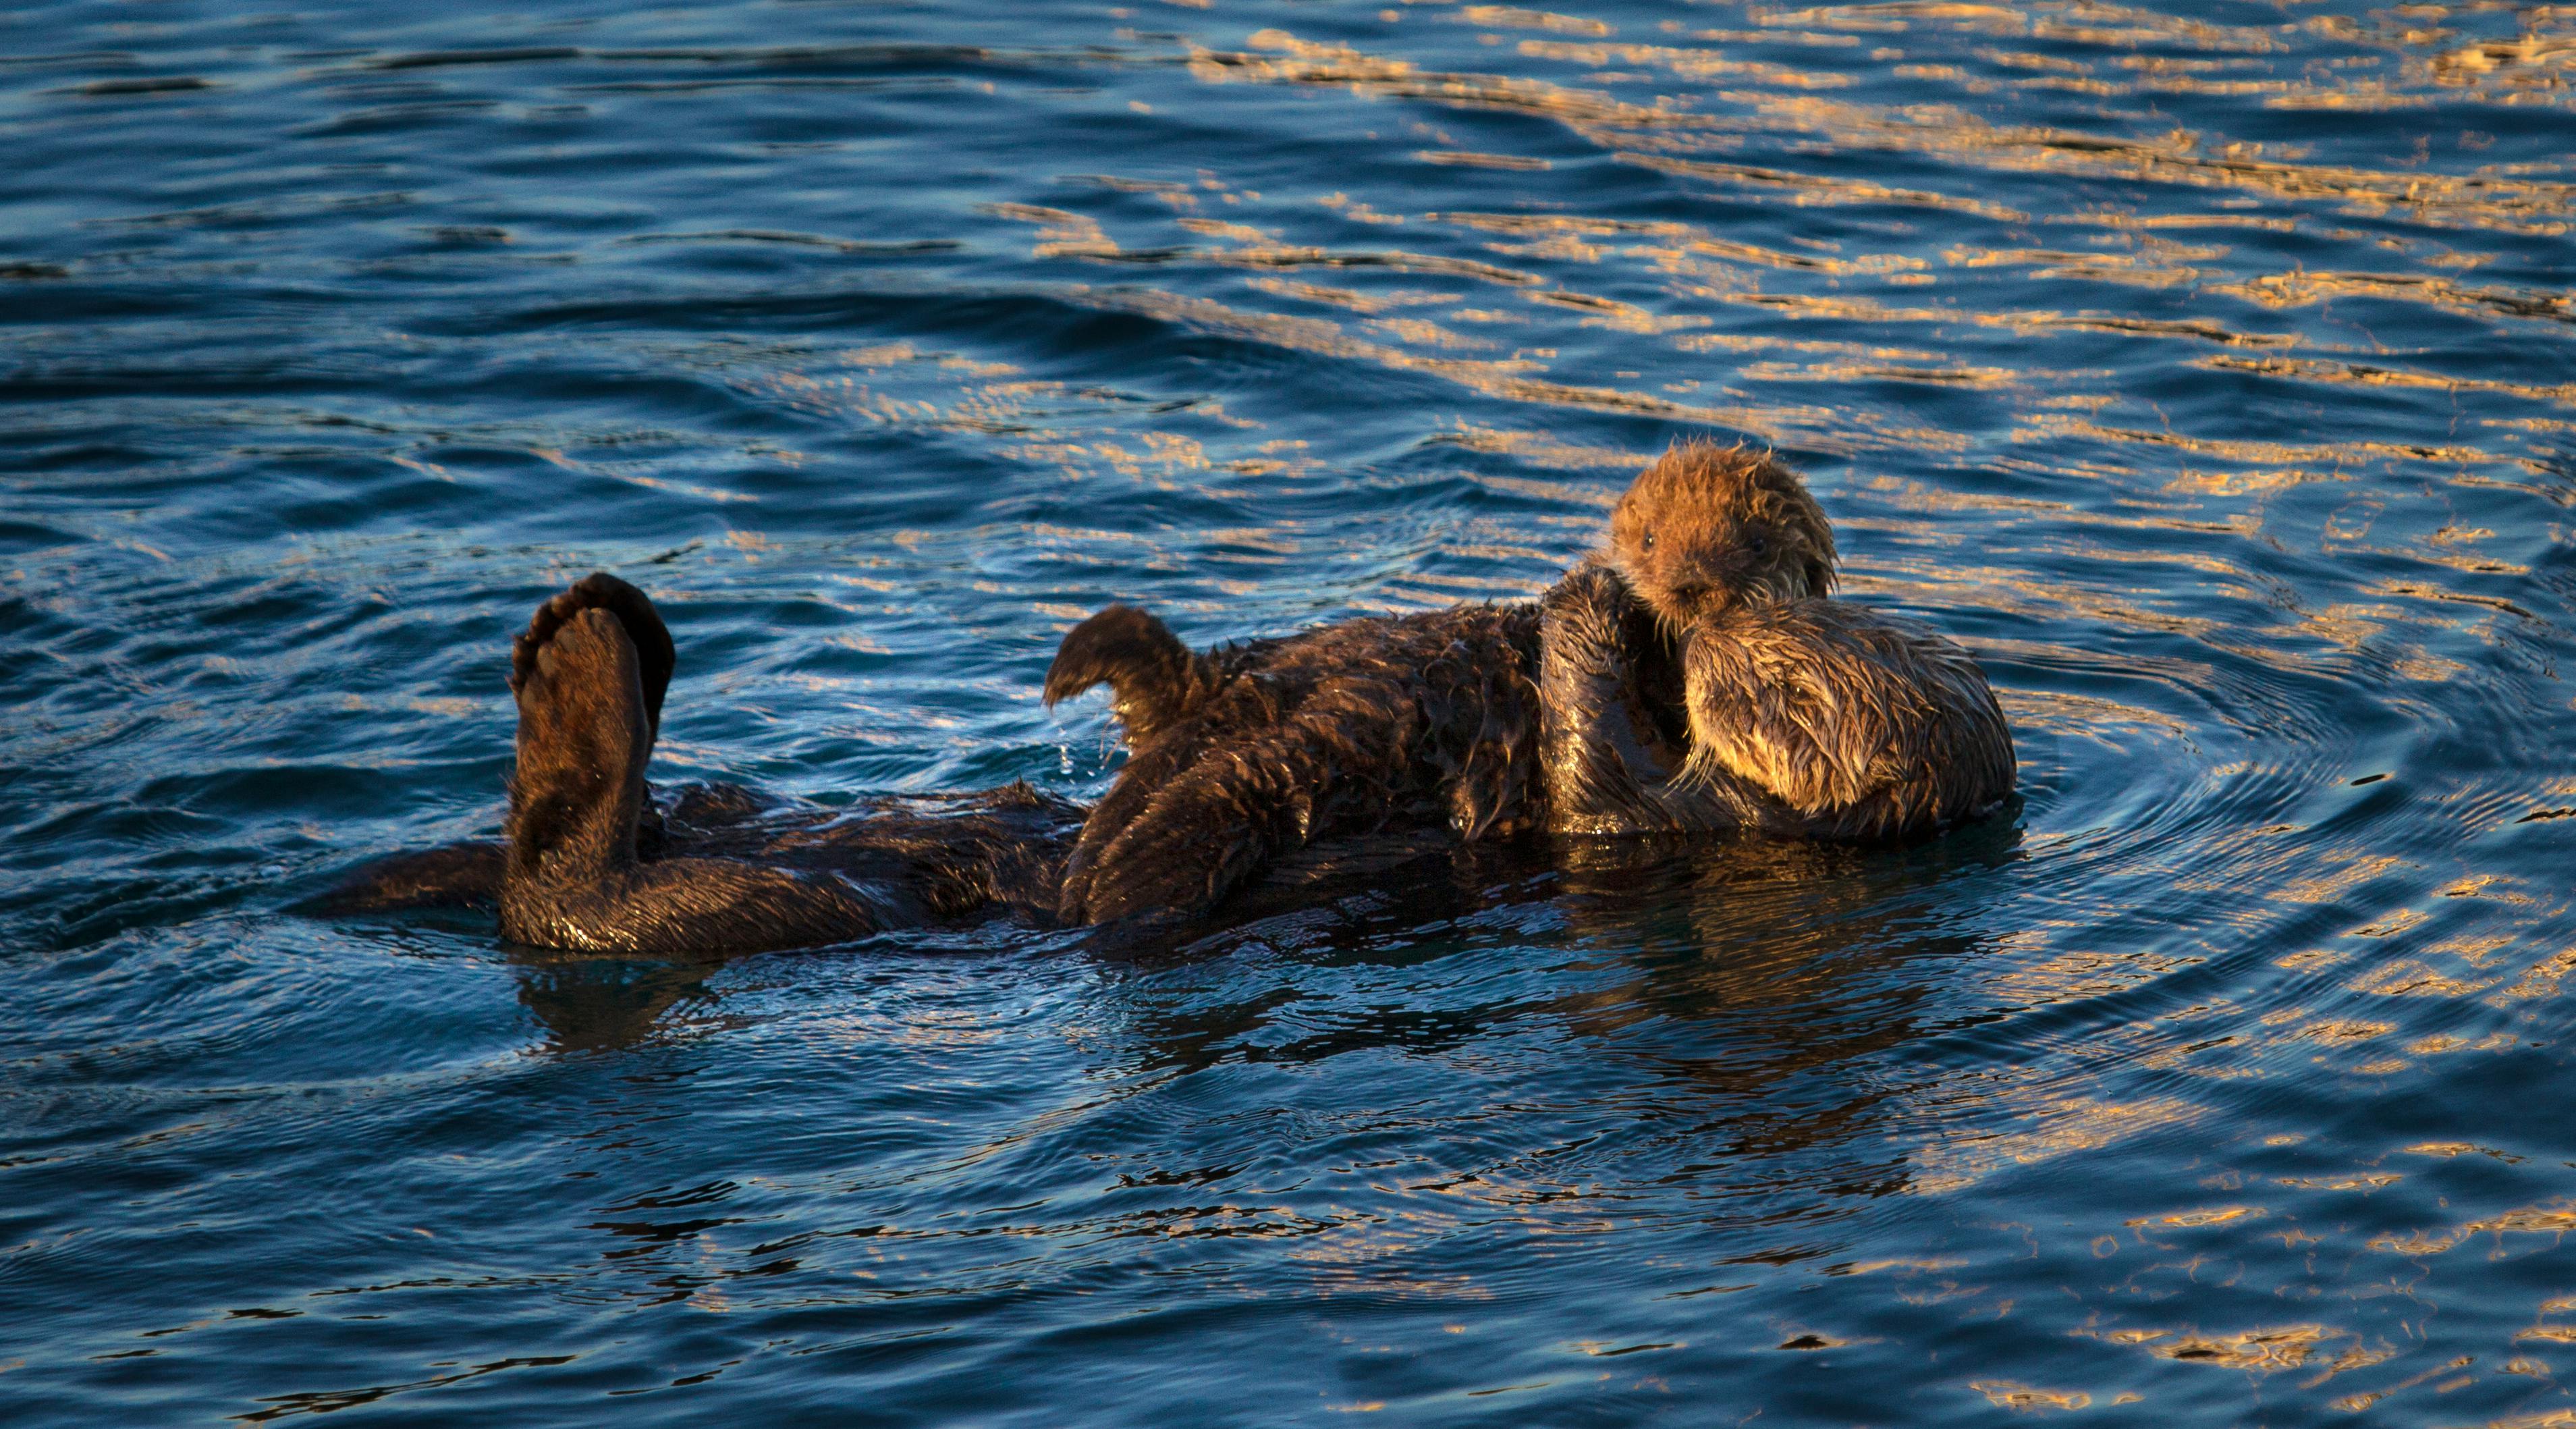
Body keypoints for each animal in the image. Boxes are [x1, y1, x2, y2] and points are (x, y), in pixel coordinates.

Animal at [1046, 441, 2012, 923]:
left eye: (1785, 690)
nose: (1704, 627)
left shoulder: (1673, 816)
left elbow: (1591, 758)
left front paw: (1588, 599)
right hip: (1277, 664)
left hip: (1302, 760)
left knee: (1204, 806)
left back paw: (1115, 877)